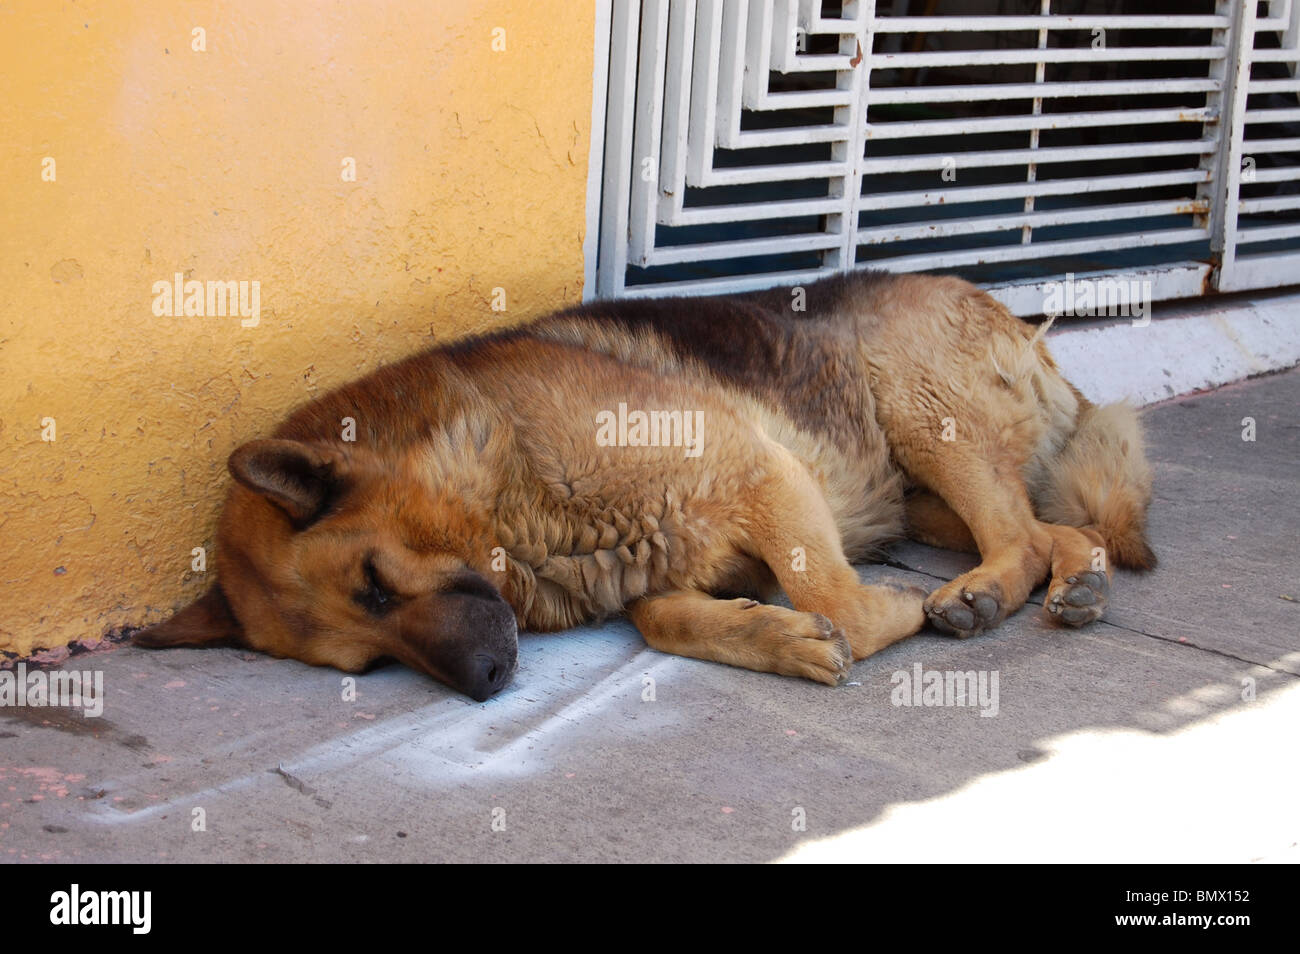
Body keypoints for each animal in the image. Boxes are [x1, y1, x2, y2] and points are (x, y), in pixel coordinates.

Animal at [137, 270, 1159, 701]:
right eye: (368, 662)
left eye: (375, 585)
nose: (486, 682)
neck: (508, 494)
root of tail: (1015, 319)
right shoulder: (672, 558)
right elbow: (668, 619)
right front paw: (774, 638)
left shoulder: (762, 469)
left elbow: (844, 603)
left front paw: (872, 615)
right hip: (922, 494)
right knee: (1052, 533)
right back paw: (1075, 583)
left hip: (916, 405)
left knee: (1017, 535)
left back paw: (976, 596)